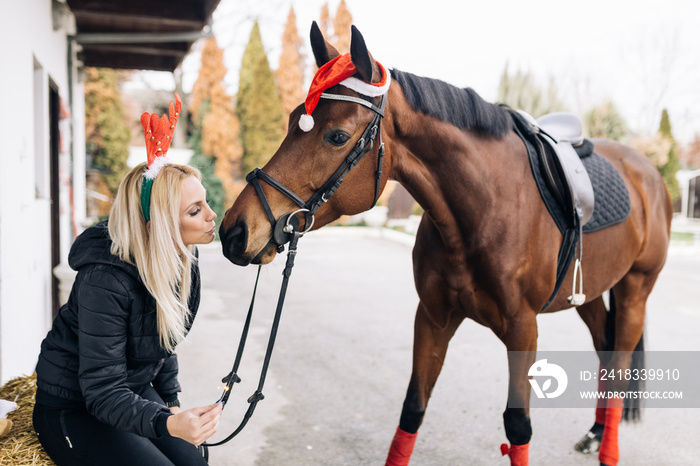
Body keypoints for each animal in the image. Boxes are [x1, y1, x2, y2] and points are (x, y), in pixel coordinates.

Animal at [220, 23, 672, 466]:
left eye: (336, 136)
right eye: (294, 119)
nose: (235, 231)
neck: (484, 209)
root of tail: (646, 169)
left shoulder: (523, 329)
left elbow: (518, 427)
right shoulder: (434, 318)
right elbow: (412, 409)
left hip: (635, 289)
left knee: (620, 360)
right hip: (590, 293)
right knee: (606, 351)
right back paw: (595, 433)